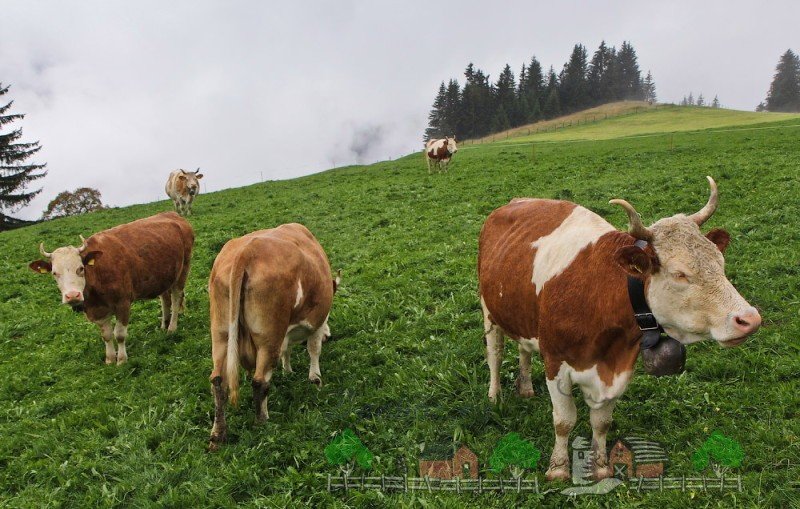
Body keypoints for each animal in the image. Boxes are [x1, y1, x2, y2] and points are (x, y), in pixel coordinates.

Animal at [28, 212, 195, 364]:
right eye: (54, 273)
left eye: (81, 268)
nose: (73, 295)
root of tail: (173, 215)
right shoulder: (97, 310)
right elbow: (107, 335)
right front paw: (109, 359)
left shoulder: (123, 303)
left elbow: (119, 334)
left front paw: (121, 360)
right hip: (164, 276)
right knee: (165, 298)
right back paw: (164, 325)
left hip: (183, 270)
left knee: (176, 299)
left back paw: (172, 327)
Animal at [205, 222, 340, 448]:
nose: (329, 336)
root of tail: (246, 251)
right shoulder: (316, 323)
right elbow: (313, 350)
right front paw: (315, 379)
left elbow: (287, 350)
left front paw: (287, 370)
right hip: (269, 337)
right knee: (260, 381)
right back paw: (262, 422)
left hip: (221, 334)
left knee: (218, 382)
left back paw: (218, 434)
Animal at [478, 178, 760, 480]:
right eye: (680, 274)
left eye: (720, 263)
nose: (750, 318)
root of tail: (514, 202)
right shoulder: (555, 363)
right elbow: (564, 421)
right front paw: (558, 469)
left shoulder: (620, 366)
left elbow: (601, 422)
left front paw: (601, 467)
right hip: (489, 311)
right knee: (495, 354)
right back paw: (494, 396)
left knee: (524, 349)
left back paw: (526, 388)